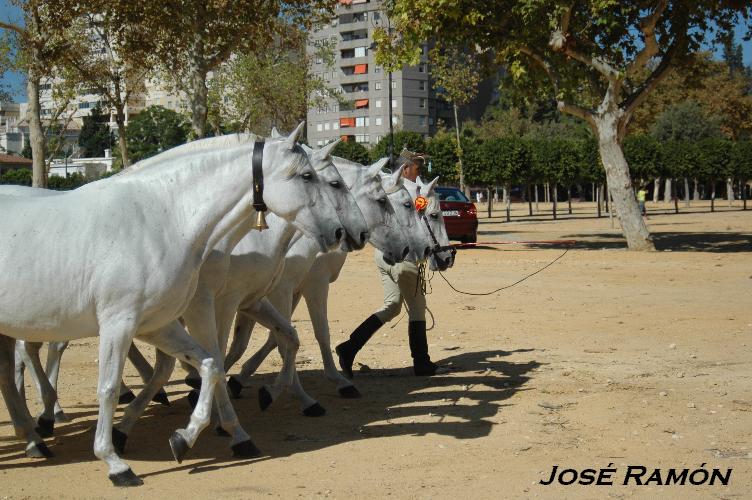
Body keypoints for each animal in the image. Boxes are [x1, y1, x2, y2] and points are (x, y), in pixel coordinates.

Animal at [0, 127, 342, 486]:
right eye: (308, 176)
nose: (337, 232)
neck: (161, 220)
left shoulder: (155, 325)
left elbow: (210, 366)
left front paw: (184, 439)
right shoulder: (119, 324)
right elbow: (108, 388)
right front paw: (115, 462)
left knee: (9, 378)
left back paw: (35, 440)